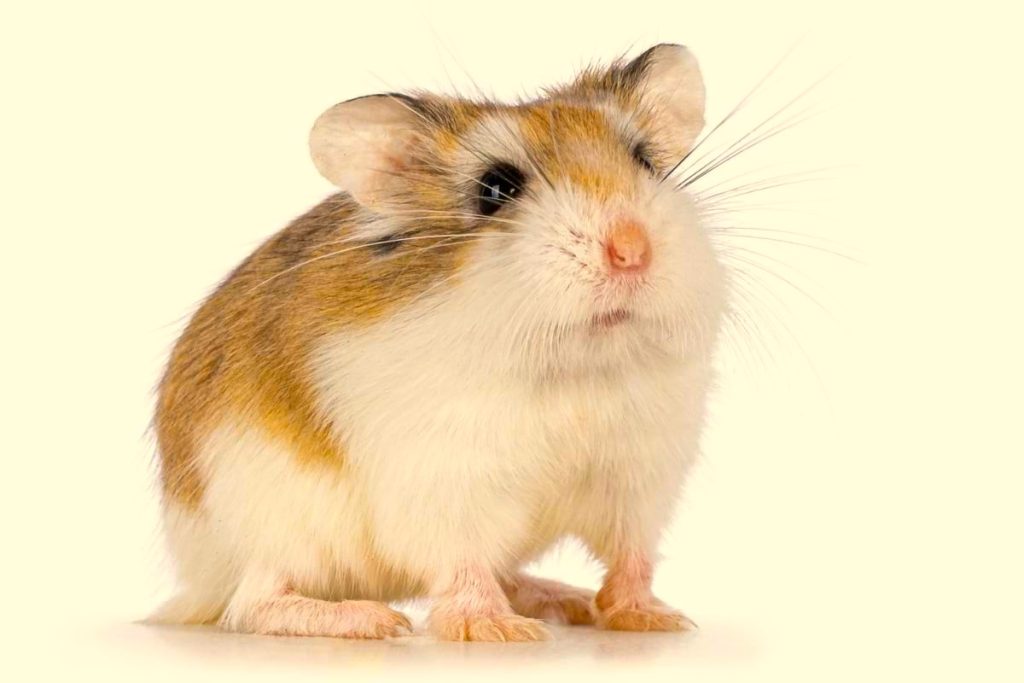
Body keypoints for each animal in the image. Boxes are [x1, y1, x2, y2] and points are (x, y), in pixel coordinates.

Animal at [152, 43, 725, 642]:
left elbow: (633, 553)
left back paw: (563, 599)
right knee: (255, 602)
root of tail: (197, 574)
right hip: (276, 527)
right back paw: (378, 620)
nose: (632, 251)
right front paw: (499, 632)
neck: (573, 365)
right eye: (497, 189)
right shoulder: (446, 478)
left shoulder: (641, 473)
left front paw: (658, 620)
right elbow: (462, 562)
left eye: (645, 161)